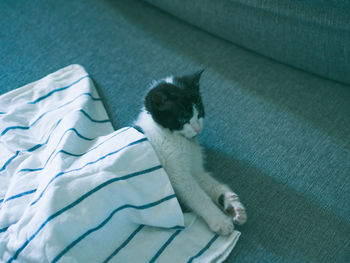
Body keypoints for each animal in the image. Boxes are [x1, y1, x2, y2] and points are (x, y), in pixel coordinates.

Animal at [134, 71, 246, 236]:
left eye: (200, 112)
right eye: (182, 119)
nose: (198, 129)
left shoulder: (194, 168)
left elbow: (208, 182)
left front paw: (232, 205)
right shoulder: (176, 173)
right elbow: (196, 195)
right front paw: (220, 221)